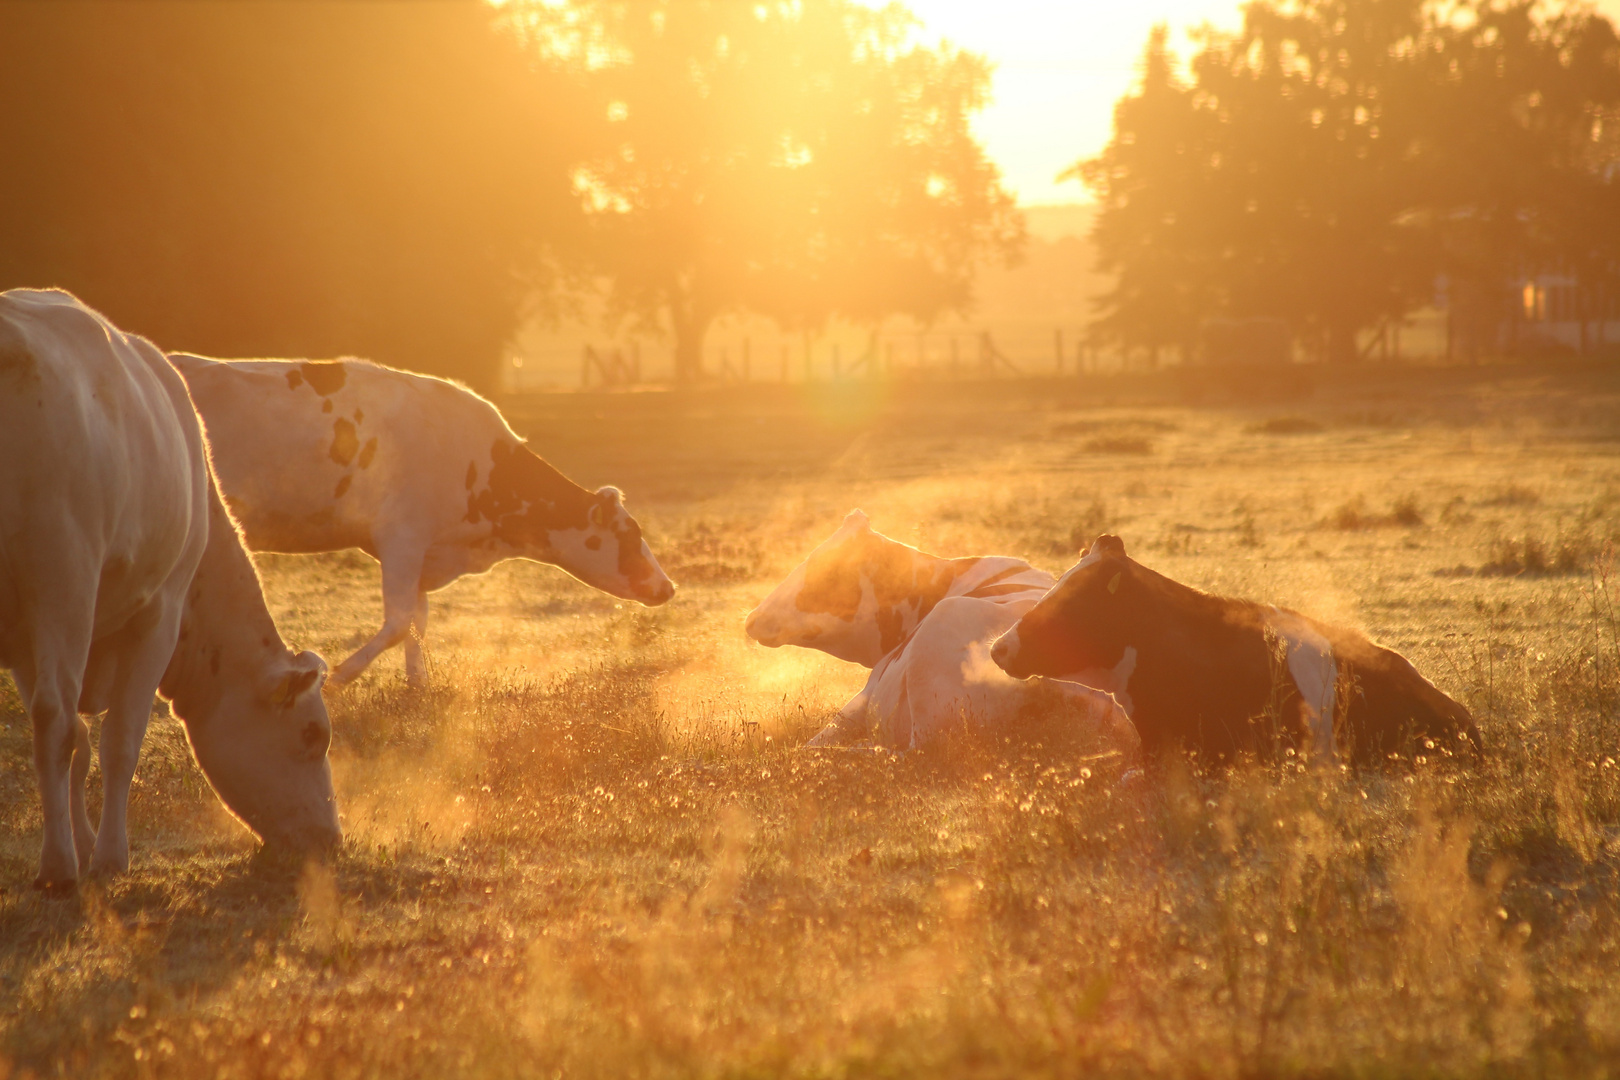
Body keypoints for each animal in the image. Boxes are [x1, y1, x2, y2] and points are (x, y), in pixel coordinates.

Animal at [0, 289, 341, 893]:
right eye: (311, 734)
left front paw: (86, 842)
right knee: (55, 719)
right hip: (64, 578)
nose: (332, 841)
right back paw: (58, 867)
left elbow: (82, 746)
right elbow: (115, 740)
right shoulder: (158, 615)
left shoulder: (23, 638)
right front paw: (106, 857)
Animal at [174, 356, 680, 693]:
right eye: (629, 535)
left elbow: (418, 621)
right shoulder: (402, 538)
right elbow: (400, 621)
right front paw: (337, 677)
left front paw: (417, 686)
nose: (667, 586)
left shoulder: (422, 552)